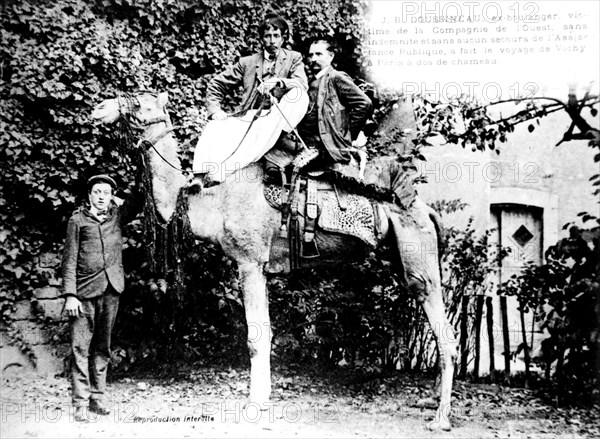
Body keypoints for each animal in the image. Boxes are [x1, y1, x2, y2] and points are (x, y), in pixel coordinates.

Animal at [91, 91, 460, 432]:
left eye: (141, 102)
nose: (100, 107)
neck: (212, 200)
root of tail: (427, 210)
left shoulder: (250, 260)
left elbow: (256, 336)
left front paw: (256, 402)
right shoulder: (261, 267)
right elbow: (264, 331)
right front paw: (263, 397)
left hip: (419, 257)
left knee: (445, 334)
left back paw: (441, 418)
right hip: (401, 256)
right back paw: (431, 402)